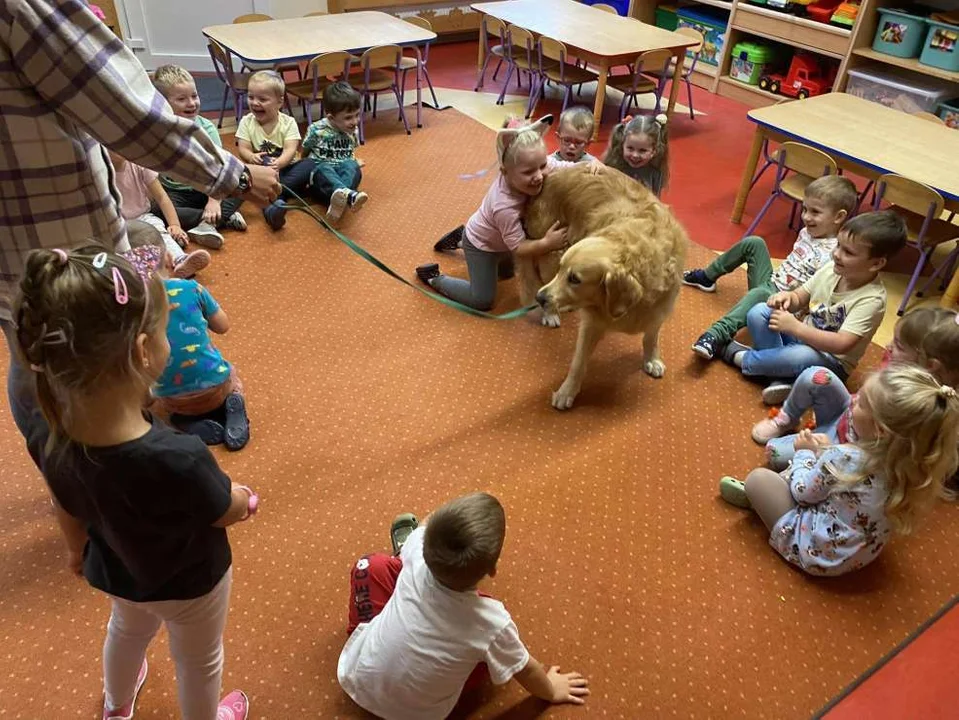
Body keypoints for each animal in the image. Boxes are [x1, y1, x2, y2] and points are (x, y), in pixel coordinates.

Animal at [520, 165, 688, 410]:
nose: (539, 298)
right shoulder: (592, 323)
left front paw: (652, 359)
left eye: (574, 279)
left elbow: (651, 338)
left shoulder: (659, 311)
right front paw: (567, 391)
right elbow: (578, 362)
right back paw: (549, 313)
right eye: (564, 272)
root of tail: (549, 177)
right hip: (552, 250)